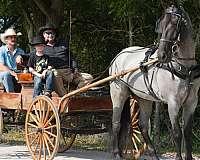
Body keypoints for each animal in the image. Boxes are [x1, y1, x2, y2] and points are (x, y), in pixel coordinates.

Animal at [110, 4, 199, 159]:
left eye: (175, 23)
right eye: (161, 26)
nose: (162, 55)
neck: (185, 68)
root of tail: (119, 55)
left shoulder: (191, 103)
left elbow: (187, 134)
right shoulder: (173, 103)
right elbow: (177, 133)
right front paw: (178, 157)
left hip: (144, 98)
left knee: (143, 126)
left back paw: (152, 153)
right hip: (118, 94)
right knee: (116, 123)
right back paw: (117, 153)